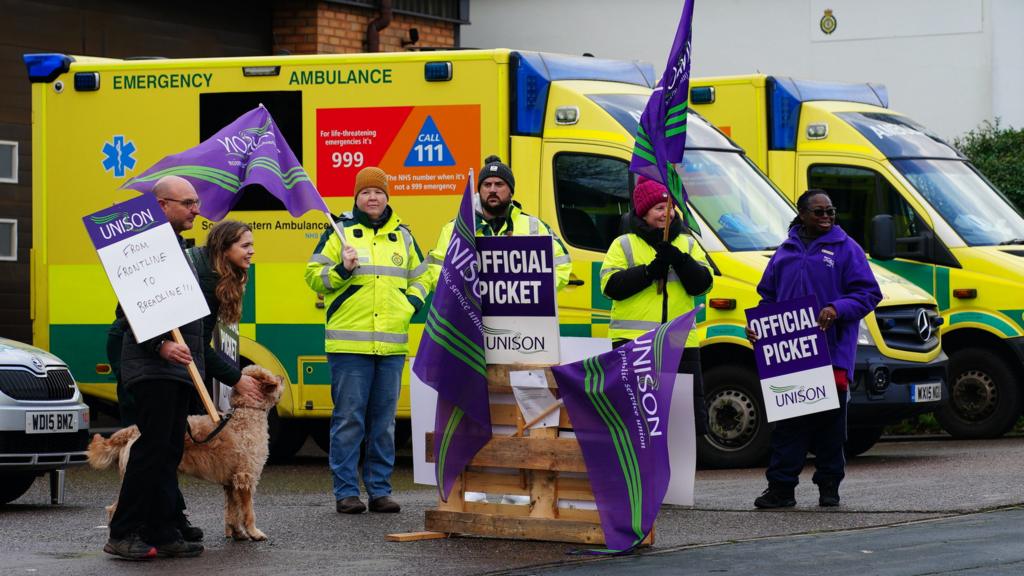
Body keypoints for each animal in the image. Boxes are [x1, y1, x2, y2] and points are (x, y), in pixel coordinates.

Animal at [89, 362, 284, 537]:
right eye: (270, 374)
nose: (282, 376)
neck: (247, 414)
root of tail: (133, 430)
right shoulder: (245, 477)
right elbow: (248, 511)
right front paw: (254, 532)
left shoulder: (231, 482)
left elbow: (232, 510)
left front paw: (237, 532)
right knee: (116, 509)